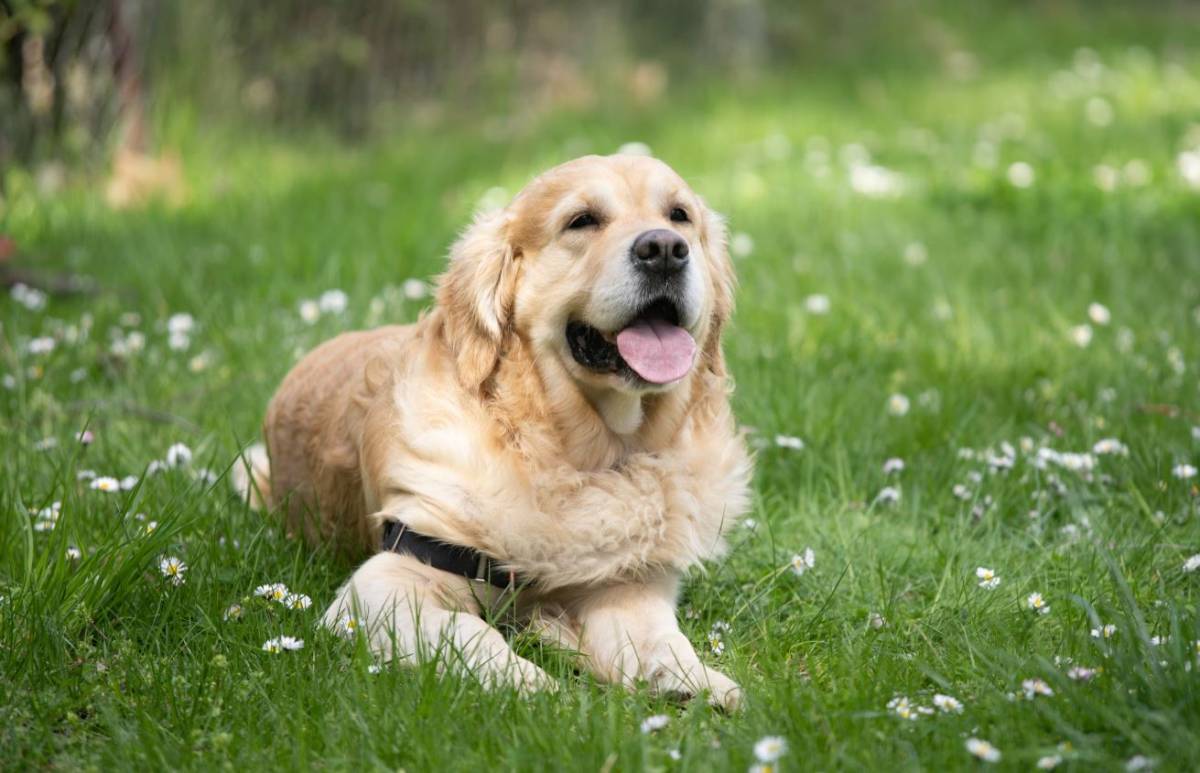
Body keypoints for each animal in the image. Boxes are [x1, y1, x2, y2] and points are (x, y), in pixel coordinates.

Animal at [236, 153, 748, 710]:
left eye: (679, 215)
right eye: (582, 221)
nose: (665, 250)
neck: (578, 457)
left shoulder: (626, 583)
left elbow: (656, 637)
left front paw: (694, 678)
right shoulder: (384, 583)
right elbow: (469, 631)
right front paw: (537, 686)